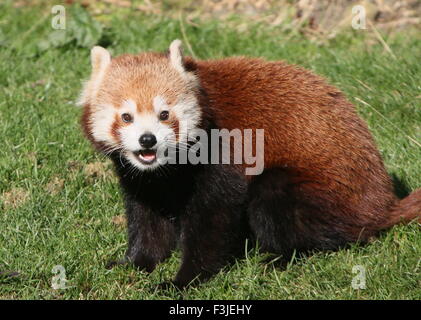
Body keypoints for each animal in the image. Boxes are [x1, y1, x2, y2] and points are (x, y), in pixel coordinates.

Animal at [79, 39, 420, 288]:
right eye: (126, 117)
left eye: (164, 114)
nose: (147, 140)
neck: (168, 168)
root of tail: (383, 203)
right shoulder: (145, 180)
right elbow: (148, 219)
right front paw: (134, 264)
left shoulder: (223, 153)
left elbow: (213, 220)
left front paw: (183, 280)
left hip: (326, 195)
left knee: (274, 196)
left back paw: (281, 258)